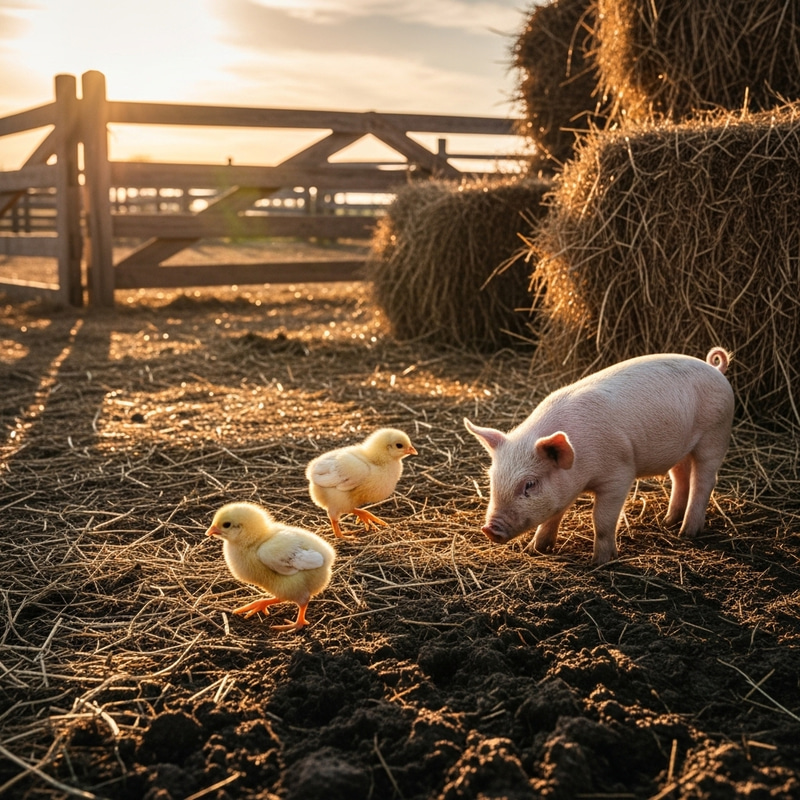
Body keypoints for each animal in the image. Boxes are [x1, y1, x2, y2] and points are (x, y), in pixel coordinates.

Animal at [464, 348, 734, 565]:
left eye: (529, 484)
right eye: (492, 481)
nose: (489, 528)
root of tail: (715, 368)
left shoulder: (619, 475)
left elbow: (602, 520)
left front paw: (600, 562)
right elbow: (554, 514)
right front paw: (536, 550)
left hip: (715, 434)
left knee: (704, 481)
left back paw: (686, 533)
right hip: (682, 448)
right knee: (680, 477)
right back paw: (668, 522)